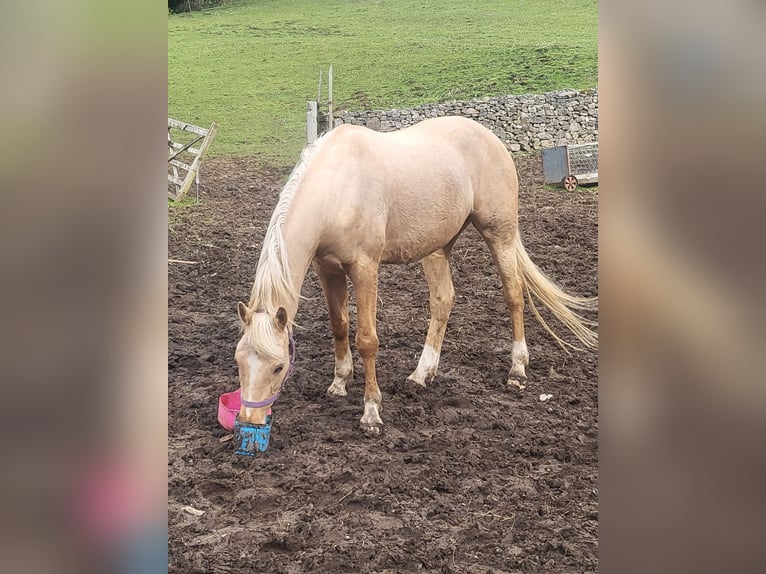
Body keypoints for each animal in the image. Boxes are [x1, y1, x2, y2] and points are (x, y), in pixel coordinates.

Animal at [234, 116, 597, 434]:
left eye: (279, 366)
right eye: (239, 360)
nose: (249, 419)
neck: (340, 187)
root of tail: (490, 137)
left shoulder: (365, 268)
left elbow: (366, 339)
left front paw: (371, 413)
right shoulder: (327, 269)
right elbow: (339, 327)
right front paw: (338, 384)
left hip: (500, 234)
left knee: (514, 294)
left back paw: (517, 370)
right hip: (438, 246)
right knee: (443, 301)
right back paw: (422, 374)